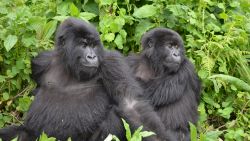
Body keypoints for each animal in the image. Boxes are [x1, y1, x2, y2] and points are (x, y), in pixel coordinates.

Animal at [0, 19, 173, 141]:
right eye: (83, 45)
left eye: (94, 45)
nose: (92, 56)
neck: (69, 66)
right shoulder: (41, 61)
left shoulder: (112, 62)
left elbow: (130, 104)